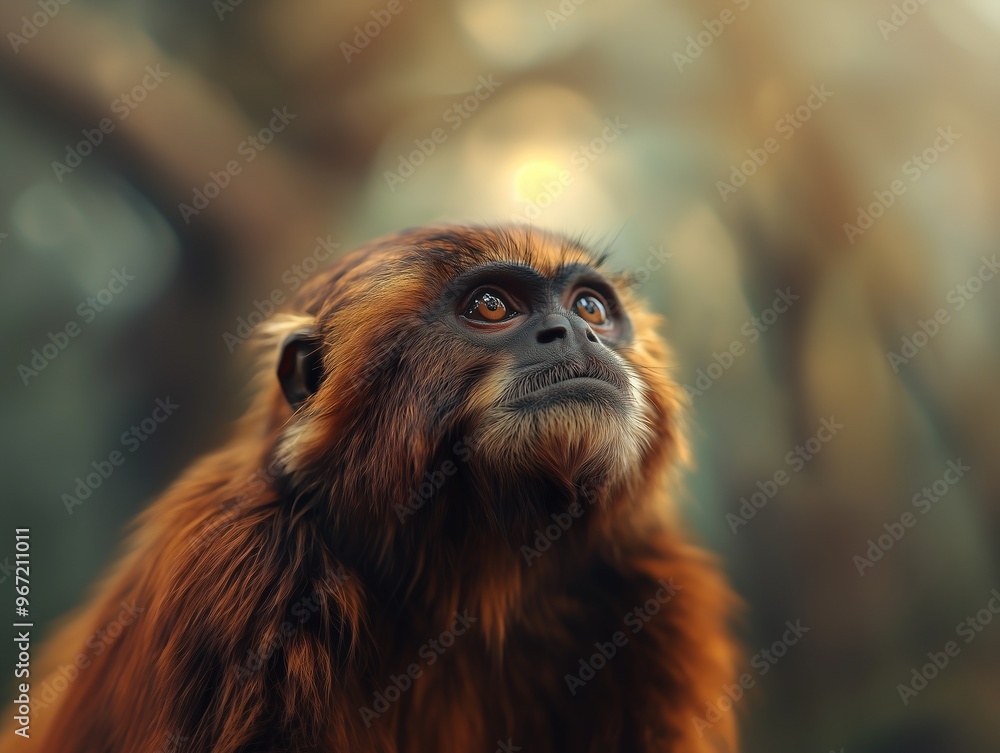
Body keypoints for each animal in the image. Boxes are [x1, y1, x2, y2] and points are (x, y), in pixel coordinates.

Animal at [9, 224, 739, 753]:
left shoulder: (649, 589)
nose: (576, 332)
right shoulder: (236, 572)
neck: (466, 585)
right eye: (492, 306)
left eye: (590, 305)